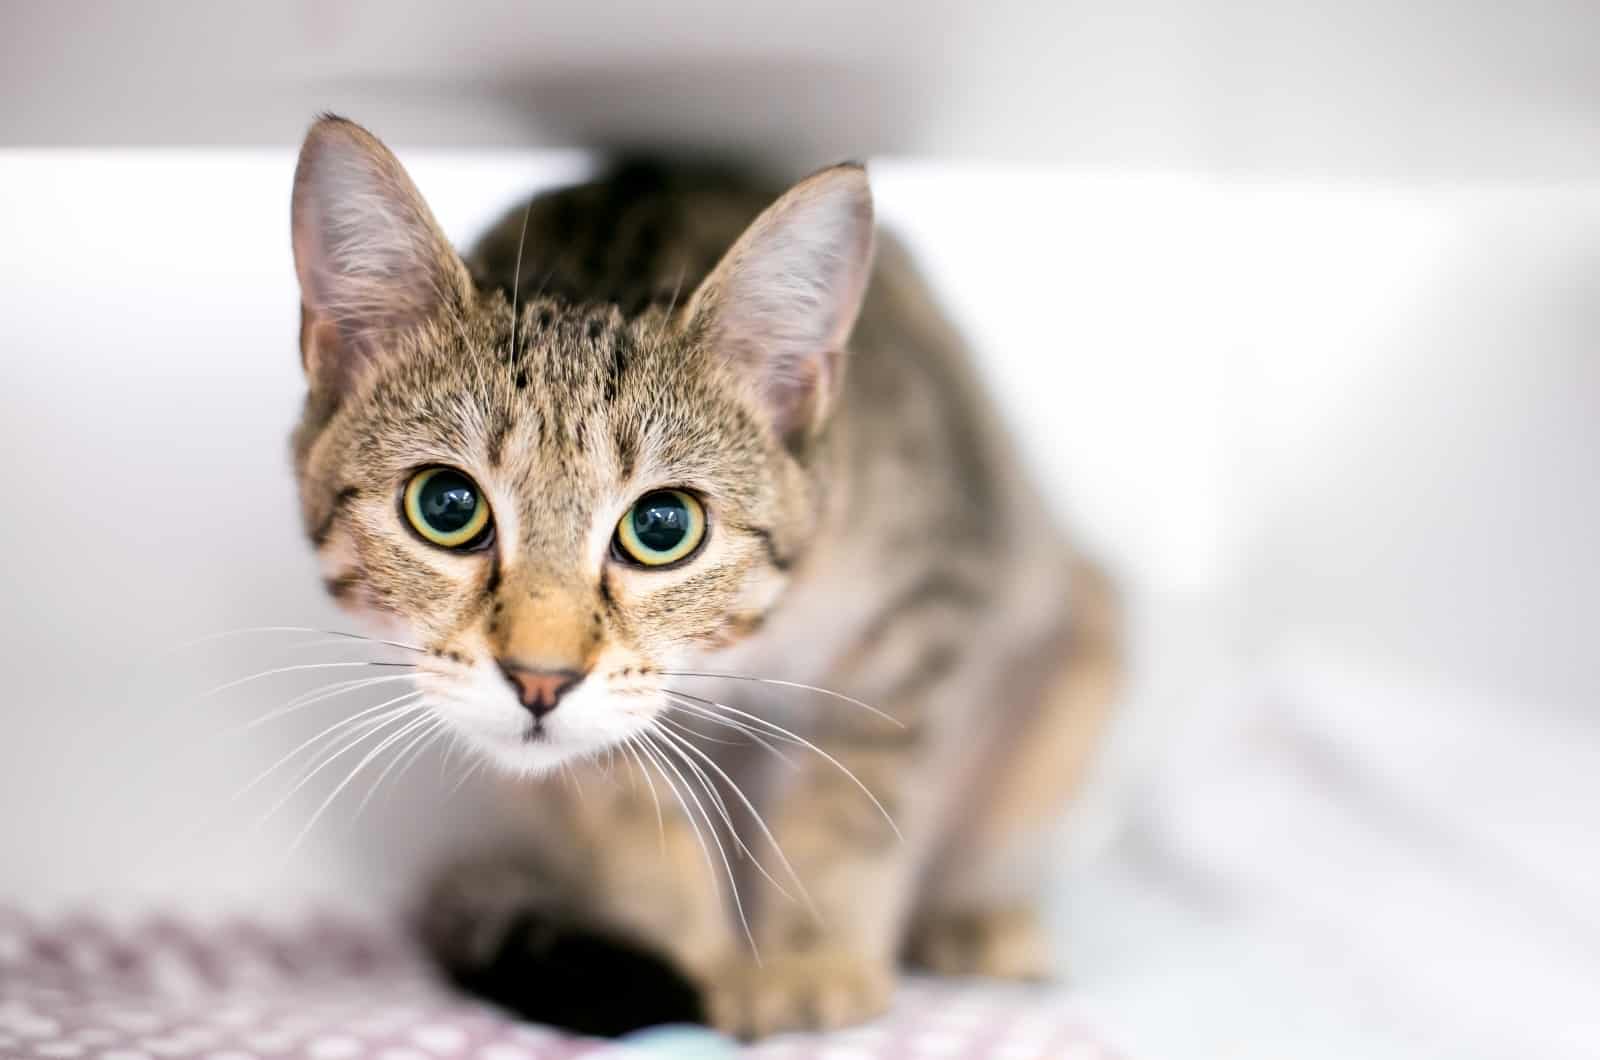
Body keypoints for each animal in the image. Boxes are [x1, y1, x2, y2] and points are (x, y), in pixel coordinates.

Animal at [288, 114, 1120, 1037]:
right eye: (445, 505)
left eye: (662, 526)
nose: (539, 681)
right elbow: (634, 816)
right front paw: (703, 963)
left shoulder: (930, 604)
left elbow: (852, 801)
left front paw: (813, 959)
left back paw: (971, 917)